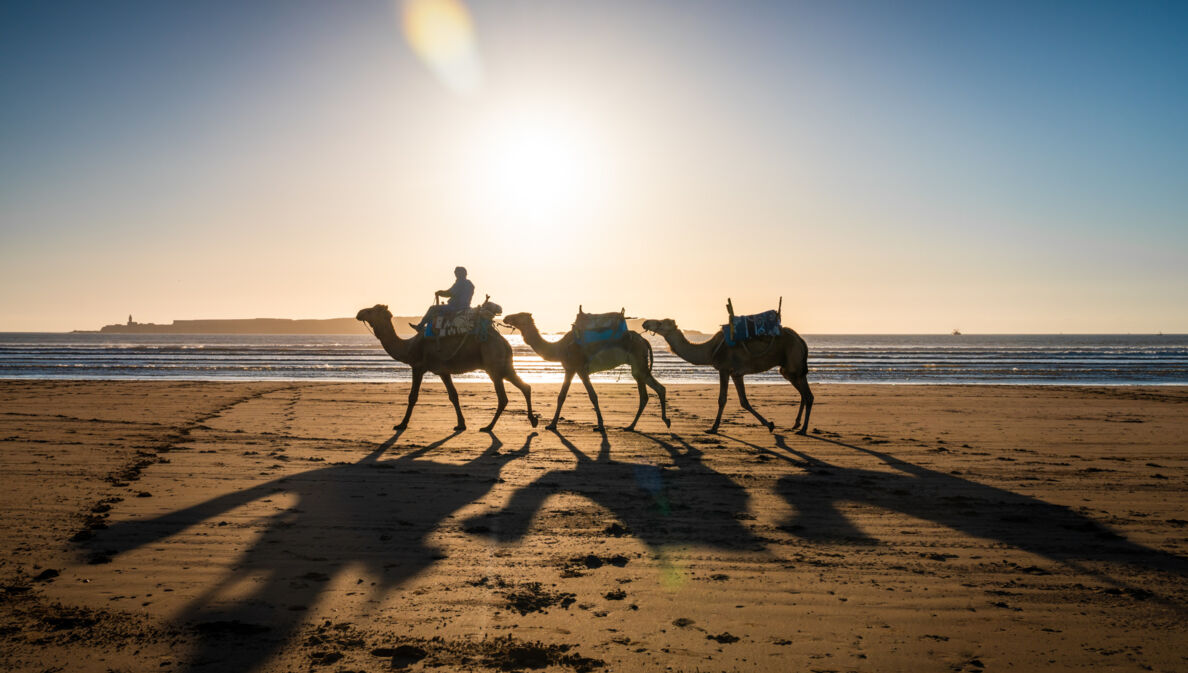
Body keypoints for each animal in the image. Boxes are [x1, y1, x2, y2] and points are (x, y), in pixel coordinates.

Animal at [351, 304, 539, 432]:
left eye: (372, 310)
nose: (359, 313)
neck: (409, 347)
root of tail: (504, 342)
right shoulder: (443, 371)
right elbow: (453, 396)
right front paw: (461, 424)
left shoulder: (418, 366)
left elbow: (412, 397)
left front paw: (401, 424)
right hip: (505, 366)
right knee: (525, 387)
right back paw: (532, 420)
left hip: (493, 366)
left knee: (503, 397)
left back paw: (488, 427)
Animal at [501, 311, 670, 432]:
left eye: (519, 315)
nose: (506, 317)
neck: (559, 348)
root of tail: (644, 340)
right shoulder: (570, 368)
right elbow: (561, 396)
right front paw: (552, 424)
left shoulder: (579, 368)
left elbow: (592, 396)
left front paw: (600, 425)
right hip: (638, 365)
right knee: (652, 391)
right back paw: (637, 425)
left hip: (638, 362)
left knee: (649, 391)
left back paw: (650, 423)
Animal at [641, 318, 817, 435]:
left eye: (660, 323)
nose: (645, 323)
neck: (710, 350)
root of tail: (801, 339)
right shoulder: (736, 373)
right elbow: (744, 401)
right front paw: (769, 424)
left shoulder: (724, 369)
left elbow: (722, 399)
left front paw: (713, 427)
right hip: (789, 369)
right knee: (803, 393)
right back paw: (796, 424)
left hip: (793, 362)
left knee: (808, 395)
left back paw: (803, 429)